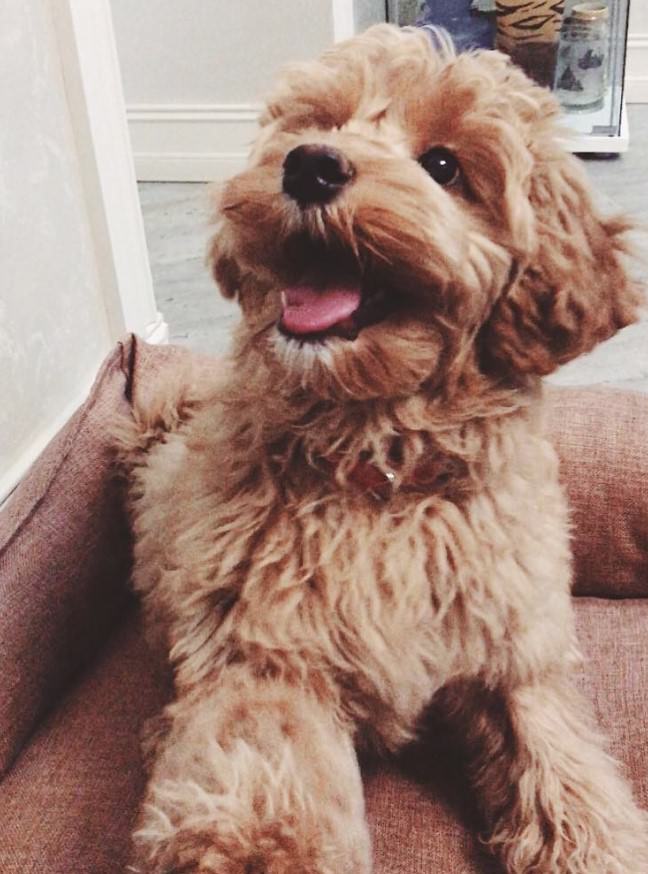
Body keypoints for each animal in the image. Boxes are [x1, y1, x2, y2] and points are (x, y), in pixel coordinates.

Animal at [121, 23, 648, 868]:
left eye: (445, 166)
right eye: (318, 124)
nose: (309, 163)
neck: (383, 472)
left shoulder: (515, 653)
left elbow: (569, 778)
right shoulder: (266, 657)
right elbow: (267, 801)